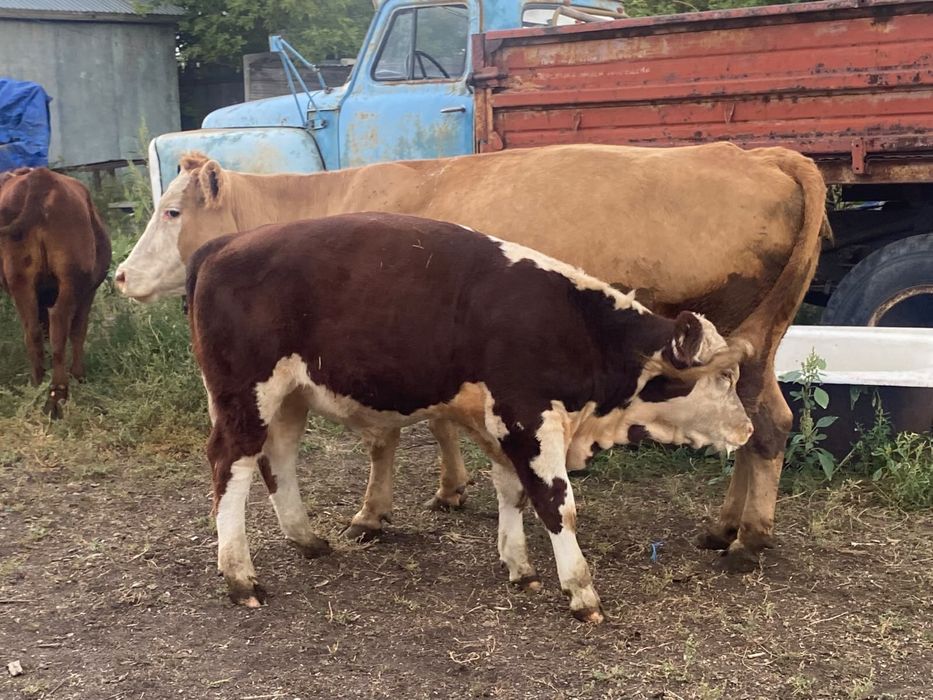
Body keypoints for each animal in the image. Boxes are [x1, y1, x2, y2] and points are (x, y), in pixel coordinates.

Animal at [0, 167, 111, 417]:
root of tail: (40, 177)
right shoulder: (87, 292)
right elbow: (78, 331)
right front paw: (79, 375)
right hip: (71, 281)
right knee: (59, 323)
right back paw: (57, 394)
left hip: (20, 281)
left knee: (32, 330)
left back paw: (38, 383)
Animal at [116, 142, 829, 571]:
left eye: (171, 210)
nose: (120, 275)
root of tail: (764, 154)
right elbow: (438, 424)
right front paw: (453, 488)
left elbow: (387, 440)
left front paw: (375, 512)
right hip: (747, 353)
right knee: (760, 427)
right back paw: (726, 526)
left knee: (763, 430)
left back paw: (747, 540)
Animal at [186, 212, 754, 622]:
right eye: (724, 377)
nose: (748, 428)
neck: (577, 327)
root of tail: (226, 243)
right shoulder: (529, 419)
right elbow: (557, 505)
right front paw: (580, 589)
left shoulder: (501, 424)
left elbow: (513, 492)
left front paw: (519, 566)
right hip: (245, 396)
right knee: (230, 466)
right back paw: (239, 577)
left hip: (288, 399)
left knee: (276, 460)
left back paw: (306, 539)